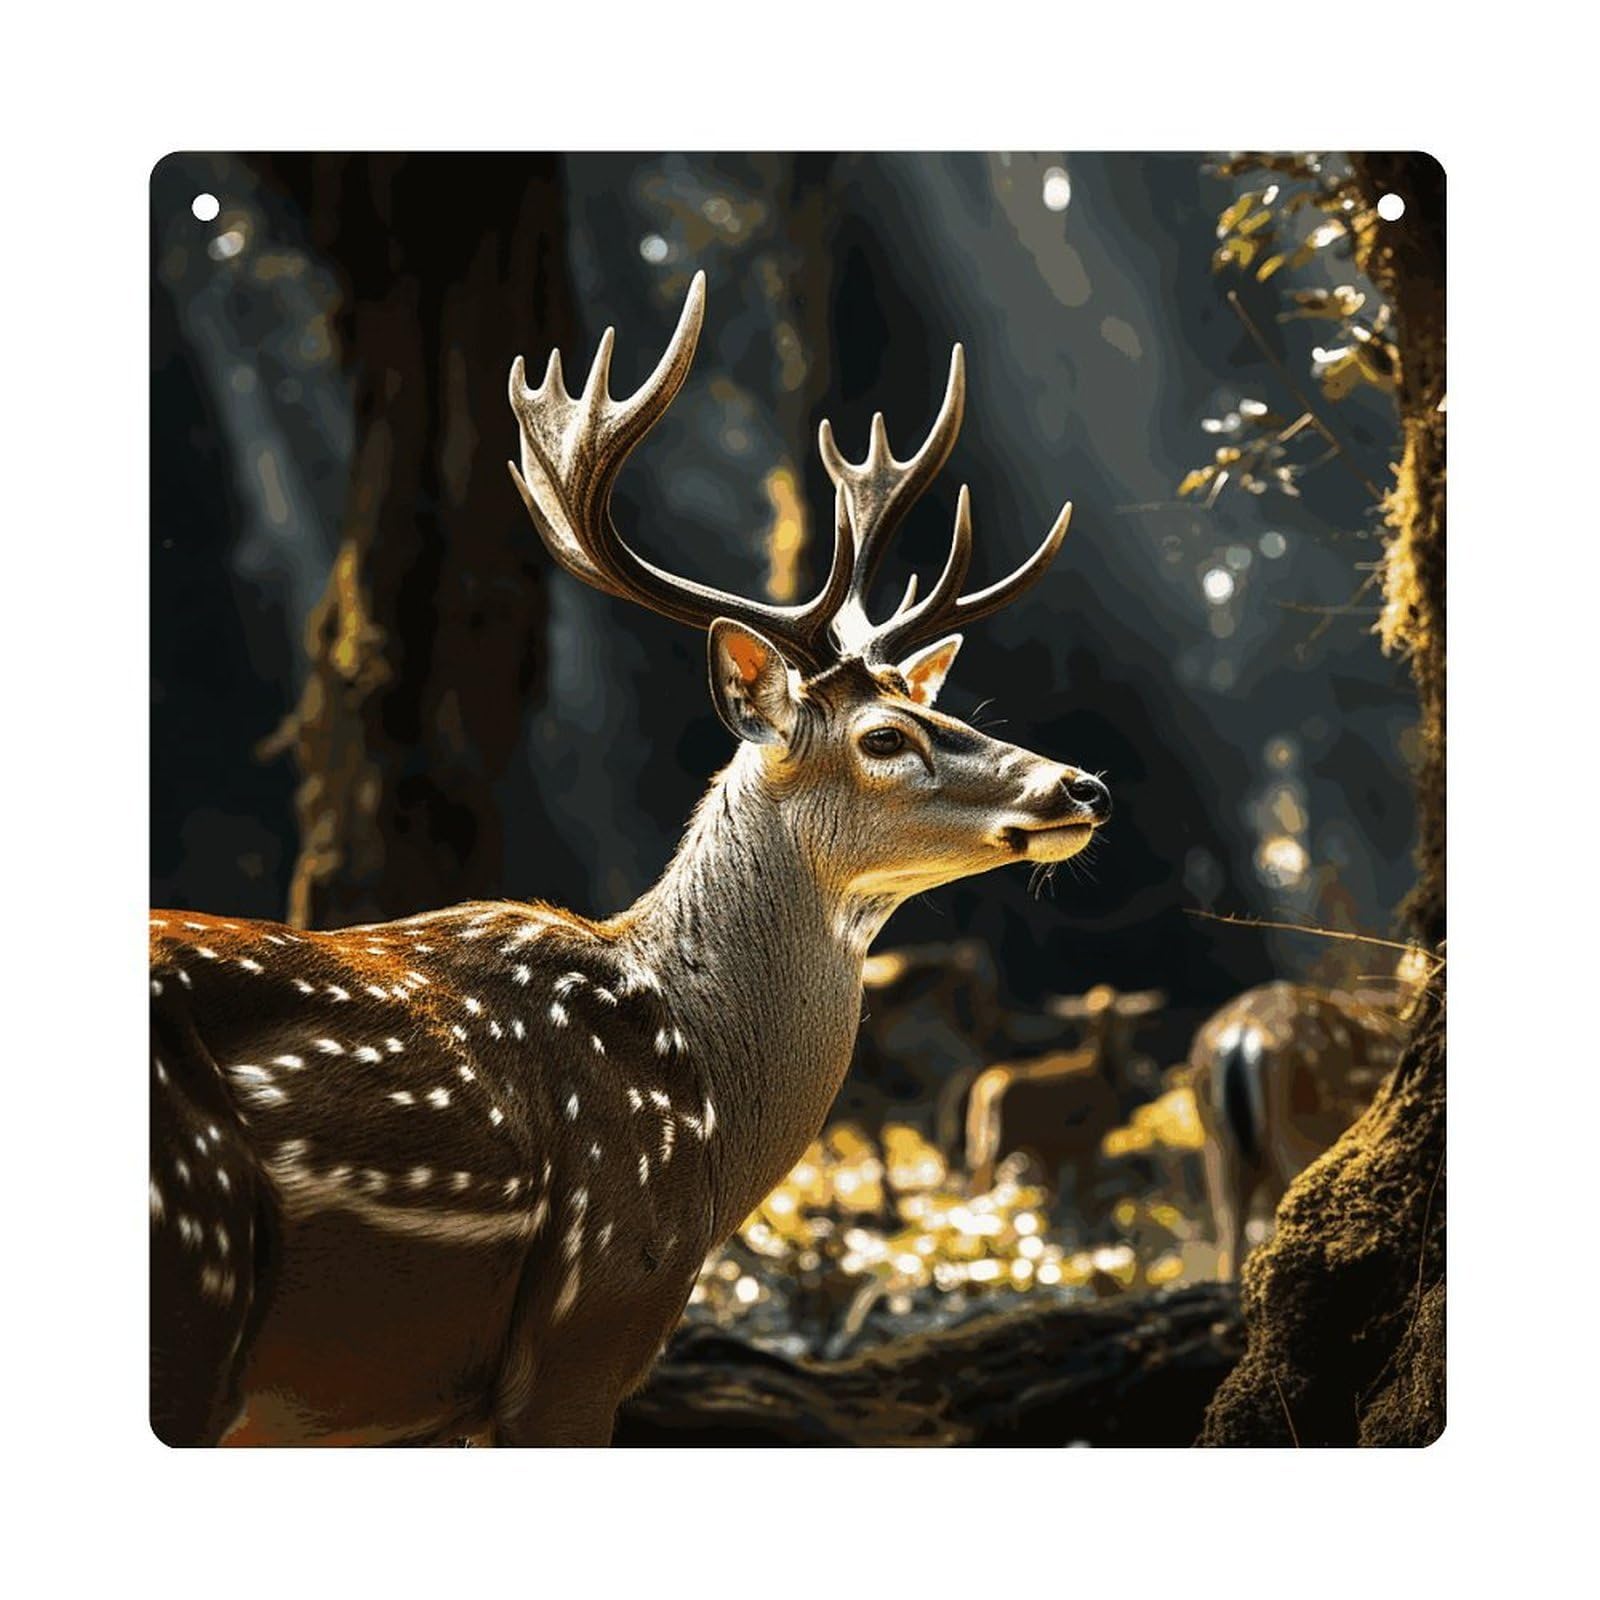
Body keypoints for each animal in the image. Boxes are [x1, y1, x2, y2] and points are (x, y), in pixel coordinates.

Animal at [149, 271, 1112, 1446]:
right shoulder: (588, 1320)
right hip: (192, 1278)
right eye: (885, 738)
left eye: (939, 704)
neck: (702, 1118)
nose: (1083, 788)